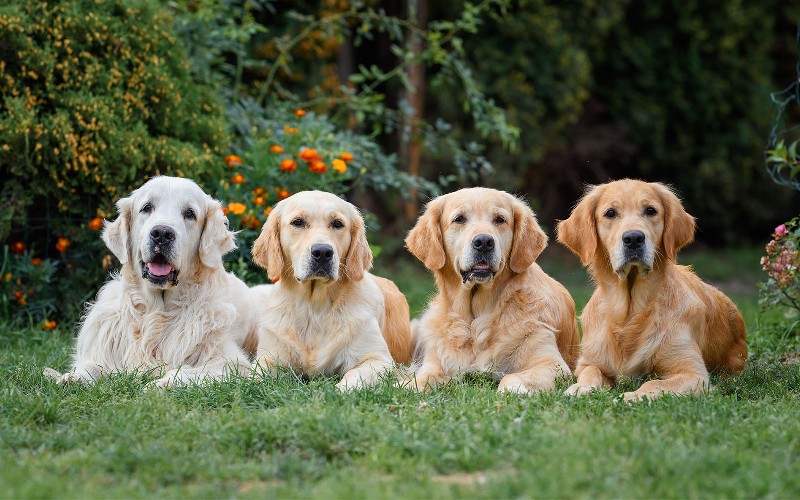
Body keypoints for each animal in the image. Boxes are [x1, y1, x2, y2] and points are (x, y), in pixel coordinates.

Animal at [45, 178, 258, 388]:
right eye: (147, 208)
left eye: (190, 213)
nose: (162, 233)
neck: (158, 314)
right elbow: (93, 366)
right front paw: (71, 377)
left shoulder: (233, 363)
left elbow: (186, 373)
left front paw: (159, 384)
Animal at [252, 189, 412, 388]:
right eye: (298, 222)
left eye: (337, 224)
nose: (322, 252)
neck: (313, 309)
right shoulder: (267, 358)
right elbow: (251, 378)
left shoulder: (378, 359)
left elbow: (352, 378)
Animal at [404, 186, 580, 392]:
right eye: (459, 219)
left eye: (500, 219)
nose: (484, 242)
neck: (477, 320)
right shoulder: (436, 362)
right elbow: (420, 379)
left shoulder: (552, 364)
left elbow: (510, 378)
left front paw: (513, 390)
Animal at [560, 178, 748, 400]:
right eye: (610, 213)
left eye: (650, 210)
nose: (633, 238)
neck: (630, 313)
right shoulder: (589, 361)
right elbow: (591, 372)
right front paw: (581, 388)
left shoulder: (694, 373)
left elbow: (654, 384)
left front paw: (629, 397)